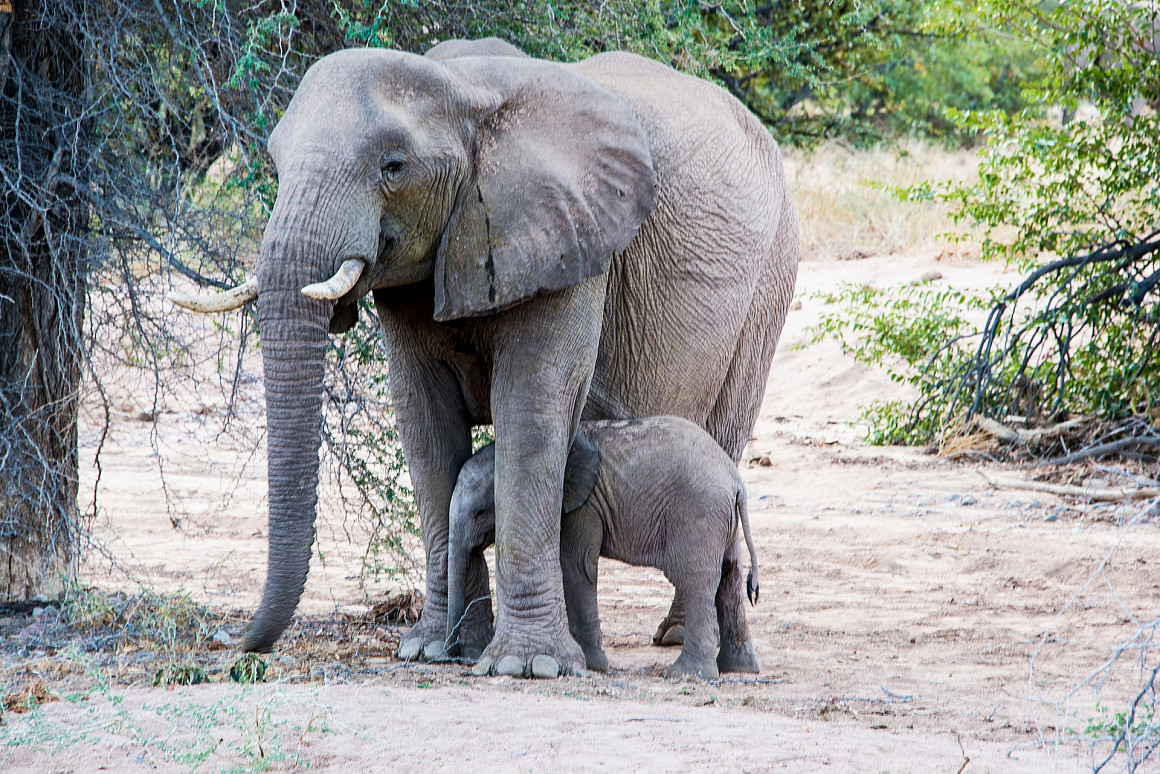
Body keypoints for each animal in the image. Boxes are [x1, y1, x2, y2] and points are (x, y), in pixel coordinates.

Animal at [447, 417, 761, 679]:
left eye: (479, 513)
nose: (448, 656)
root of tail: (736, 481)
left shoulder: (583, 507)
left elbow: (577, 566)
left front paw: (590, 665)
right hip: (723, 520)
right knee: (729, 579)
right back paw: (739, 669)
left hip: (699, 514)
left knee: (697, 581)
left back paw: (687, 674)